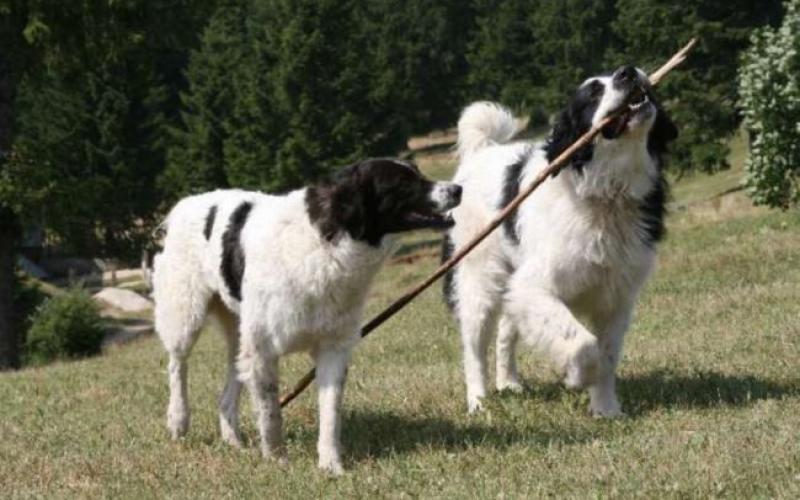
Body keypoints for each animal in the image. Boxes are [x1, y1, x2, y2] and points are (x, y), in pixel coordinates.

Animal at [152, 158, 460, 474]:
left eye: (418, 173)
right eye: (403, 183)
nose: (457, 189)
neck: (327, 244)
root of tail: (185, 203)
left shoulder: (333, 348)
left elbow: (330, 414)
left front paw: (331, 465)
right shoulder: (262, 350)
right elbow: (271, 413)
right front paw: (277, 459)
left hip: (238, 335)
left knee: (225, 394)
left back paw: (233, 440)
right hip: (186, 316)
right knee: (177, 365)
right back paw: (178, 420)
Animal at [440, 66, 680, 418]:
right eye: (593, 93)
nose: (628, 72)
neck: (606, 193)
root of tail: (481, 152)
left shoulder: (616, 298)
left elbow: (608, 355)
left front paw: (606, 409)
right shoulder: (534, 286)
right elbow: (584, 345)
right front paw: (578, 377)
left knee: (506, 330)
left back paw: (509, 382)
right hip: (478, 278)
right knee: (474, 347)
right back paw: (479, 402)